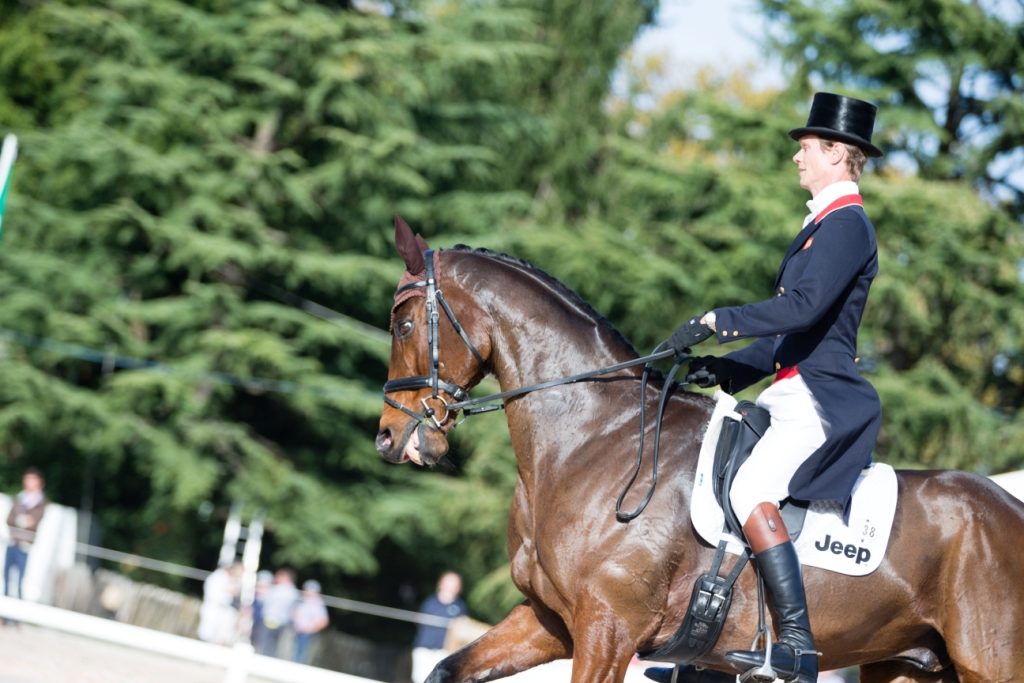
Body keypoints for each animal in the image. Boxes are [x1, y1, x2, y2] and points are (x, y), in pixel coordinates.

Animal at [374, 220, 1024, 683]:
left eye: (402, 324)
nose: (389, 438)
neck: (594, 436)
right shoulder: (550, 620)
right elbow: (445, 670)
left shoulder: (609, 629)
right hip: (907, 665)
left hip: (990, 665)